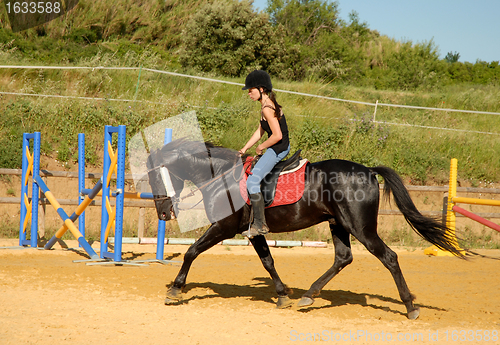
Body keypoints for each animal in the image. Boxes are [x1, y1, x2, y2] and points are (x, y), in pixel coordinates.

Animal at [146, 138, 464, 318]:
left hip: (361, 228)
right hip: (339, 225)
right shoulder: (253, 232)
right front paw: (283, 295)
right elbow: (268, 261)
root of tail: (369, 170)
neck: (221, 176)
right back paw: (308, 295)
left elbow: (191, 251)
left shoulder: (223, 227)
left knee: (389, 257)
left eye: (155, 178)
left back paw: (410, 307)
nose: (163, 213)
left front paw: (175, 289)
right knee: (343, 258)